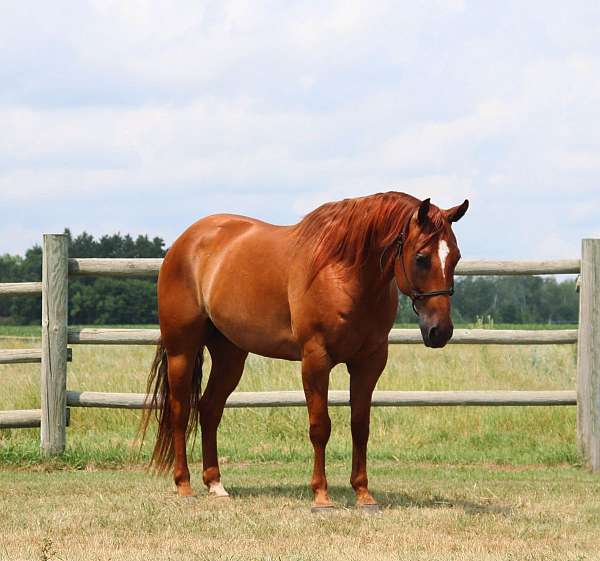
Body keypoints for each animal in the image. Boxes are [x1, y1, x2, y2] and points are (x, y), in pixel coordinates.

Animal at [142, 190, 468, 510]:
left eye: (455, 257)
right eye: (422, 258)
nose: (440, 331)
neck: (343, 273)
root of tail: (185, 242)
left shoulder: (369, 362)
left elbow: (360, 426)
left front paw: (363, 494)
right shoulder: (315, 360)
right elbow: (320, 426)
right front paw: (321, 495)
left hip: (230, 355)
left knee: (210, 409)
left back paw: (215, 484)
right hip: (182, 350)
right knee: (180, 411)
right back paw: (184, 485)